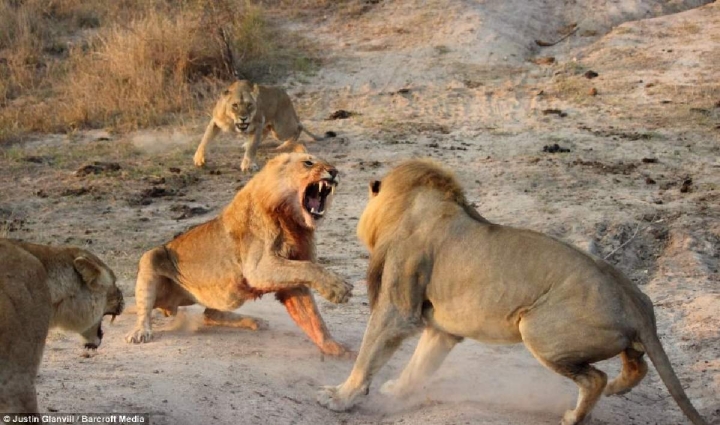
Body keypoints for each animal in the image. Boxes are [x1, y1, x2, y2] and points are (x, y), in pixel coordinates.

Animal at [129, 152, 354, 354]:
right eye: (308, 163)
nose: (334, 171)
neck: (293, 222)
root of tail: (169, 306)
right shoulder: (258, 269)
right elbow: (309, 267)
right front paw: (339, 288)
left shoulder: (292, 281)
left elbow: (313, 316)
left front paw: (334, 347)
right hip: (151, 257)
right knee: (145, 309)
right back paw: (140, 332)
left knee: (210, 315)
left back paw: (254, 321)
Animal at [320, 159, 708, 424]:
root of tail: (637, 304)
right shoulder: (443, 329)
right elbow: (419, 364)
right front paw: (397, 392)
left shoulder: (397, 308)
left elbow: (369, 354)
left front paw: (340, 396)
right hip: (622, 336)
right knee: (636, 367)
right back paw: (615, 390)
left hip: (536, 330)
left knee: (595, 377)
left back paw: (574, 415)